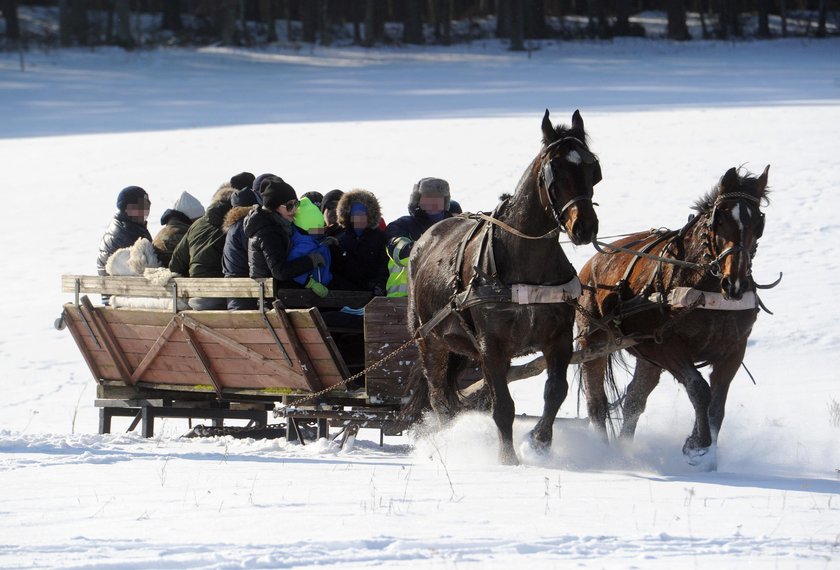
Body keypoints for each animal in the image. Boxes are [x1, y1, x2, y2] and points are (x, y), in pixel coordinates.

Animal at [408, 108, 600, 464]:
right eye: (554, 169)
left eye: (592, 168)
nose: (584, 227)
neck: (525, 266)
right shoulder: (492, 347)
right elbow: (503, 407)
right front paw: (508, 460)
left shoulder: (558, 339)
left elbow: (556, 392)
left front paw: (539, 441)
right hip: (430, 341)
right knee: (439, 397)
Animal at [576, 164, 768, 466]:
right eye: (721, 220)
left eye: (758, 223)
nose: (734, 283)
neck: (704, 288)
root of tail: (591, 264)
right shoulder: (666, 346)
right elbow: (699, 389)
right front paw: (697, 443)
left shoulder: (734, 350)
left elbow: (717, 404)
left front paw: (706, 450)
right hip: (593, 341)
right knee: (596, 401)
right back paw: (603, 452)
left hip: (646, 357)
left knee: (634, 399)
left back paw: (624, 448)